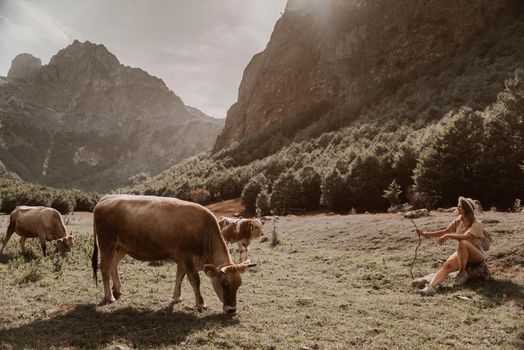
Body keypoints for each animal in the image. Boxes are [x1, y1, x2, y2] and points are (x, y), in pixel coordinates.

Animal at [92, 194, 256, 314]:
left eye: (239, 284)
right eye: (224, 284)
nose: (232, 310)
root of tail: (106, 199)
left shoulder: (182, 259)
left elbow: (179, 277)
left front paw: (177, 297)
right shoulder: (187, 257)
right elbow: (194, 280)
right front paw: (201, 304)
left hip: (120, 247)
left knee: (113, 265)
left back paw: (117, 289)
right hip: (107, 243)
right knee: (104, 268)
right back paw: (109, 297)